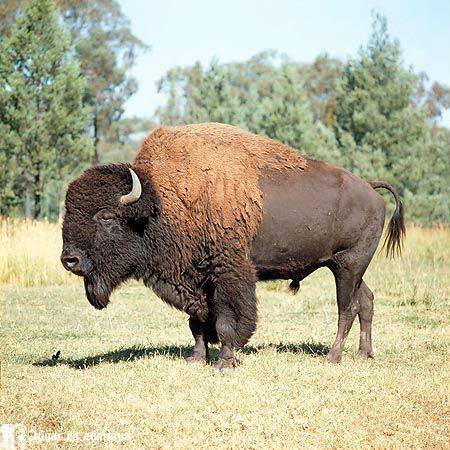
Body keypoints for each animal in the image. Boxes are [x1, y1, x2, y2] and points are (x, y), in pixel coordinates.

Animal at [61, 123, 405, 369]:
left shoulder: (228, 273)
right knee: (366, 300)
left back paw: (333, 357)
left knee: (346, 308)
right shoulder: (195, 278)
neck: (162, 201)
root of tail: (370, 189)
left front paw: (225, 362)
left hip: (348, 265)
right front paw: (196, 358)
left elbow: (227, 320)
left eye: (106, 216)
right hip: (346, 267)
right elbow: (197, 322)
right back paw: (364, 353)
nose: (69, 259)